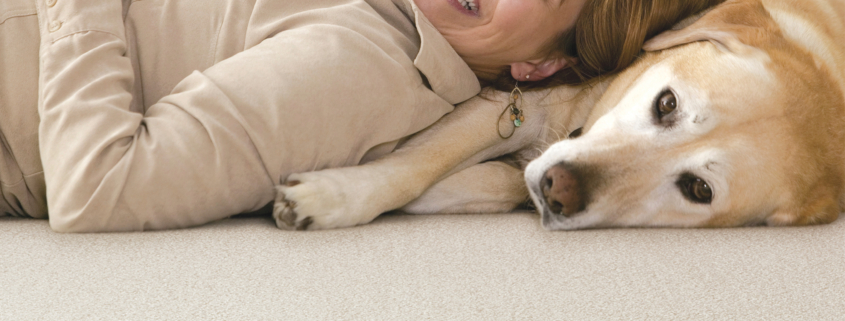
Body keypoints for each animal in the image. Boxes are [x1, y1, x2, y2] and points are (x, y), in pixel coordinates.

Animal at [274, 0, 840, 230]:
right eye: (667, 104)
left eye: (699, 189)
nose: (557, 188)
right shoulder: (517, 104)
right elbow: (415, 166)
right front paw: (333, 198)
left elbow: (495, 181)